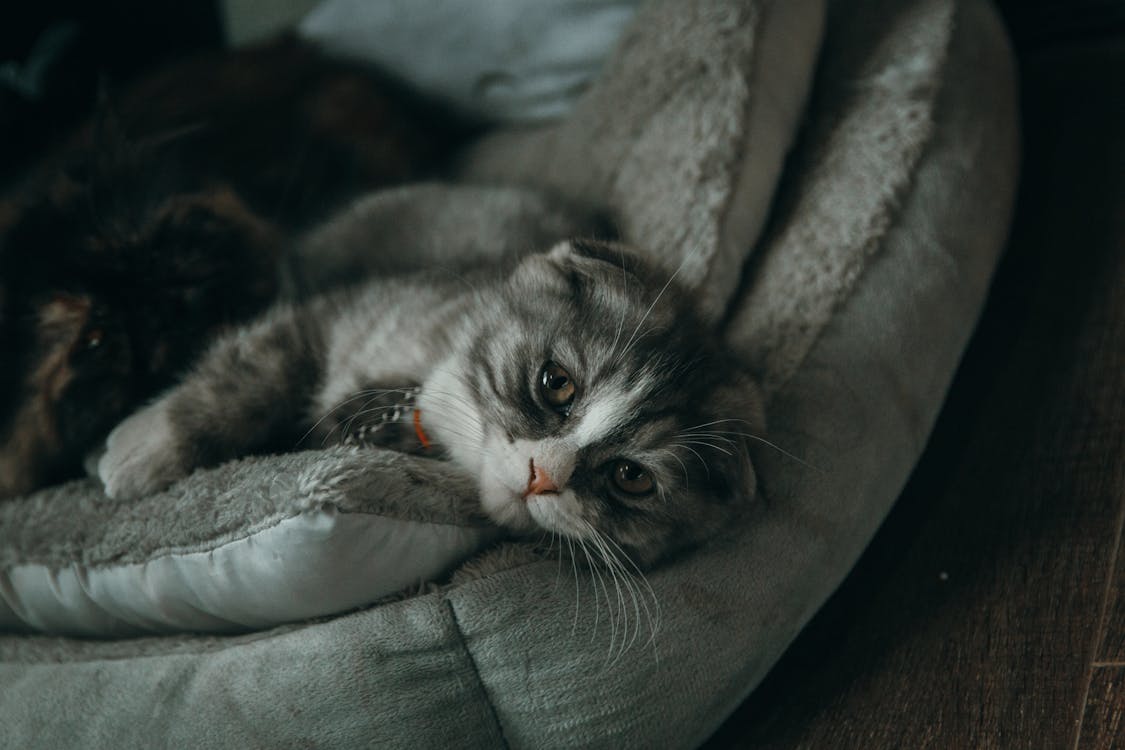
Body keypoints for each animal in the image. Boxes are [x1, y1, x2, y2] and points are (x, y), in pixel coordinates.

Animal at [96, 237, 765, 566]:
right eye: (557, 383)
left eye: (631, 477)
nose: (542, 476)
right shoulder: (335, 319)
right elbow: (247, 376)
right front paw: (143, 451)